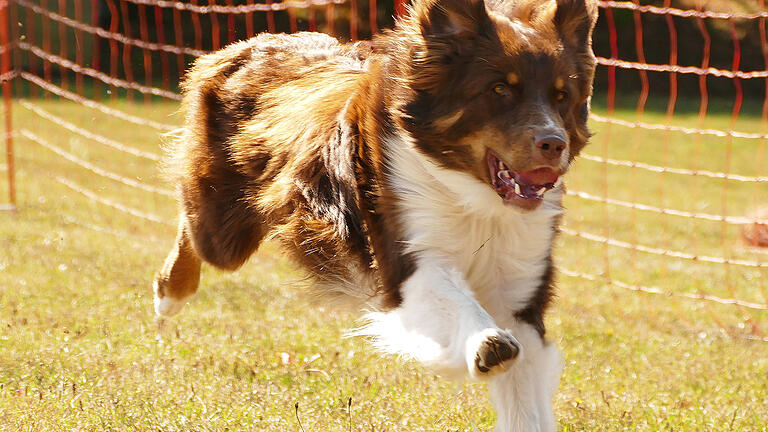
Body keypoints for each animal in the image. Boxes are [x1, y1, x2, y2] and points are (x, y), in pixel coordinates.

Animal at [156, 0, 596, 428]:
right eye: (499, 88)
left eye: (561, 96)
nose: (553, 143)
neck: (475, 200)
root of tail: (247, 45)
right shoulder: (406, 254)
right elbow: (455, 301)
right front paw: (487, 343)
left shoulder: (519, 285)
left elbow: (524, 395)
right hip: (224, 230)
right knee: (193, 230)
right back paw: (169, 295)